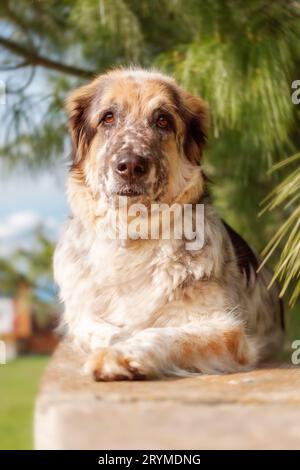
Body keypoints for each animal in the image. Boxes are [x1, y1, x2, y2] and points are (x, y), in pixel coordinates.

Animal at [53, 68, 284, 380]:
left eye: (163, 119)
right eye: (108, 117)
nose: (131, 166)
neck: (132, 236)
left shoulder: (227, 329)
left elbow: (163, 333)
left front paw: (121, 355)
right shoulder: (81, 317)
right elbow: (100, 329)